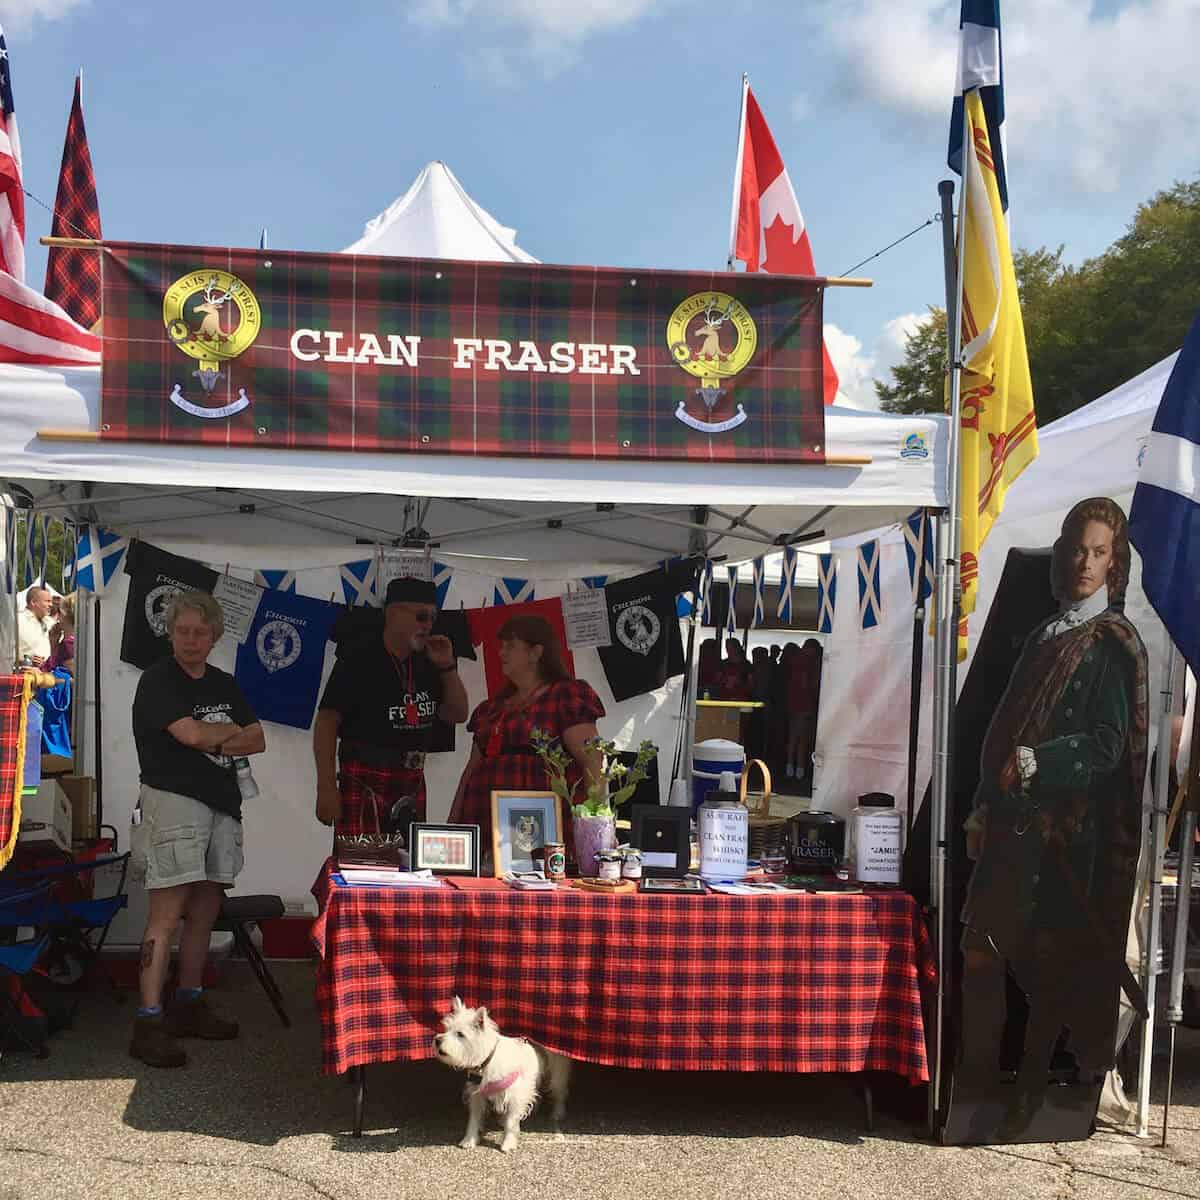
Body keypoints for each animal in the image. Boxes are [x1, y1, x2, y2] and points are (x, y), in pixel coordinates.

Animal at [434, 993, 573, 1152]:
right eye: (446, 1028)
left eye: (460, 1034)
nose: (437, 1040)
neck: (487, 1061)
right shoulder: (477, 1095)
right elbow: (474, 1119)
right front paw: (469, 1140)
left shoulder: (515, 1095)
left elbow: (511, 1122)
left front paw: (508, 1143)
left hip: (557, 1073)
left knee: (559, 1091)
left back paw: (557, 1113)